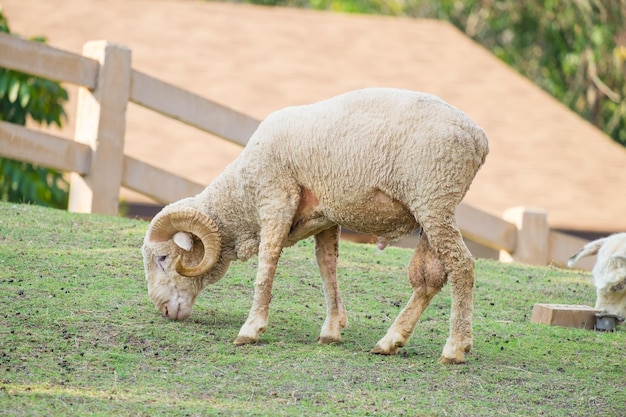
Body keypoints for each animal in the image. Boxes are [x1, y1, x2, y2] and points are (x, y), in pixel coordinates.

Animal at [140, 87, 488, 360]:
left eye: (163, 258)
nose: (163, 310)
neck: (242, 195)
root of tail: (479, 138)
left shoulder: (276, 199)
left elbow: (267, 264)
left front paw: (251, 329)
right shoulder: (326, 217)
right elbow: (327, 266)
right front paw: (332, 329)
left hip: (435, 200)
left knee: (461, 265)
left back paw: (455, 348)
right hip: (431, 209)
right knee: (429, 279)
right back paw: (391, 341)